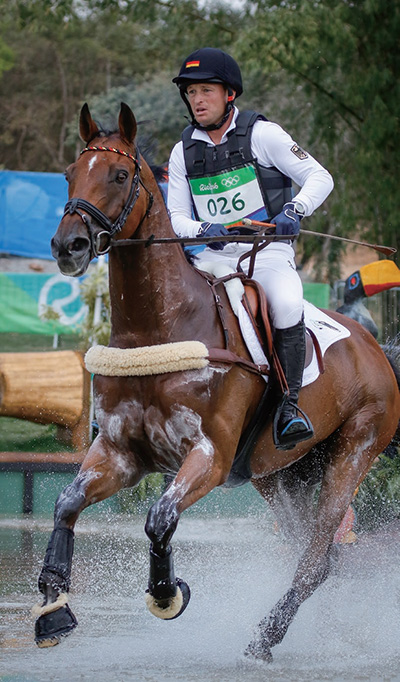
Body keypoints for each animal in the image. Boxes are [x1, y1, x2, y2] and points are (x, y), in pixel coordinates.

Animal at [35, 102, 400, 660]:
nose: (67, 246)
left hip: (352, 452)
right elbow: (66, 505)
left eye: (119, 175)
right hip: (281, 474)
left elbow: (160, 518)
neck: (157, 328)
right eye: (70, 173)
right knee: (314, 554)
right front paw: (53, 610)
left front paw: (167, 594)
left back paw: (265, 638)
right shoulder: (119, 453)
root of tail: (373, 346)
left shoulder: (208, 454)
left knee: (316, 556)